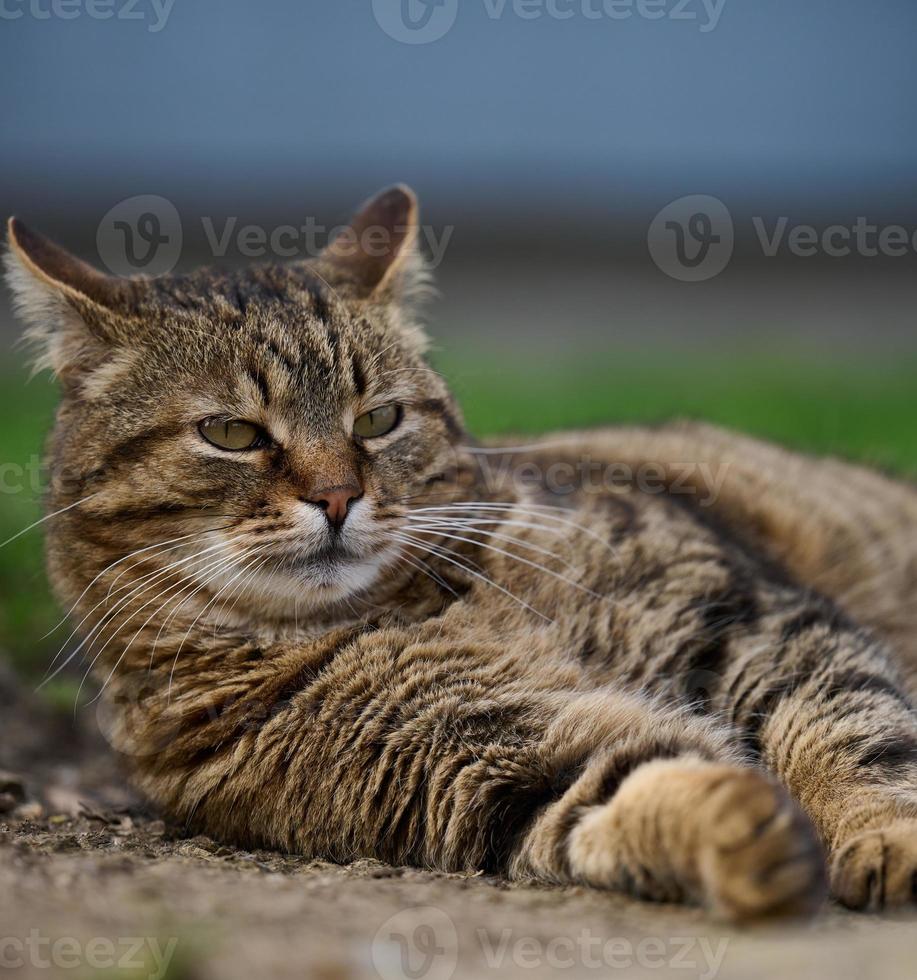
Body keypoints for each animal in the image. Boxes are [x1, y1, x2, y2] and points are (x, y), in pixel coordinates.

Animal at [5, 186, 916, 928]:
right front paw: (734, 833)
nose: (336, 498)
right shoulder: (489, 763)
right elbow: (622, 786)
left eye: (379, 420)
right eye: (231, 433)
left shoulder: (741, 616)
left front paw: (883, 833)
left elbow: (845, 731)